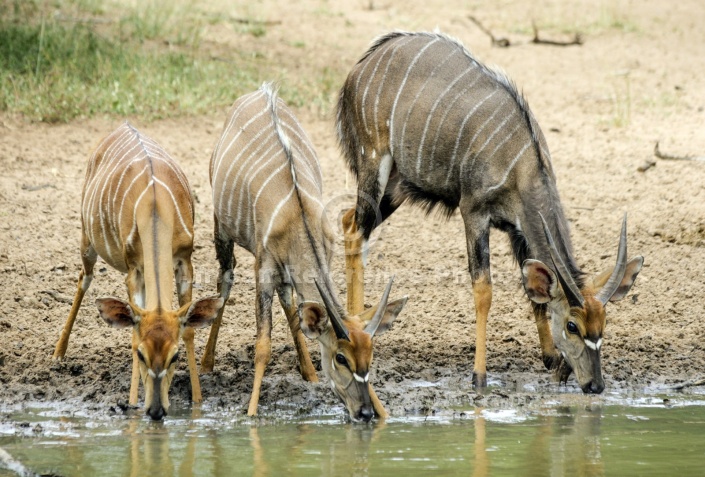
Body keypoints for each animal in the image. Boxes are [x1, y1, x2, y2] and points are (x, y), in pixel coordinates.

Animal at [53, 123, 221, 420]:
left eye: (175, 356)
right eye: (142, 355)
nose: (156, 410)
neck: (155, 211)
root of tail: (123, 125)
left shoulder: (185, 260)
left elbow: (189, 330)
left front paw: (198, 400)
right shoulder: (133, 269)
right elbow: (132, 333)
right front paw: (132, 403)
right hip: (87, 239)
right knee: (84, 277)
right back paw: (58, 353)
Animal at [204, 84, 408, 420]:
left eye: (370, 354)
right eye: (340, 357)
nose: (364, 412)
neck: (295, 213)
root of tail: (261, 90)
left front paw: (384, 413)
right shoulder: (264, 268)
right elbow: (262, 345)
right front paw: (251, 414)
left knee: (289, 301)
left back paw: (309, 372)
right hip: (222, 227)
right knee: (226, 276)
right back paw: (207, 362)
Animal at [336, 31, 644, 392]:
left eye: (603, 325)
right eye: (572, 326)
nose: (594, 385)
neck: (520, 161)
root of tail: (361, 66)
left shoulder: (516, 228)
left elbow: (531, 288)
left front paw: (550, 358)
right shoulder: (473, 212)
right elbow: (483, 290)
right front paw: (480, 375)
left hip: (397, 186)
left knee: (348, 222)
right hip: (373, 164)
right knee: (358, 232)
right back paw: (357, 330)